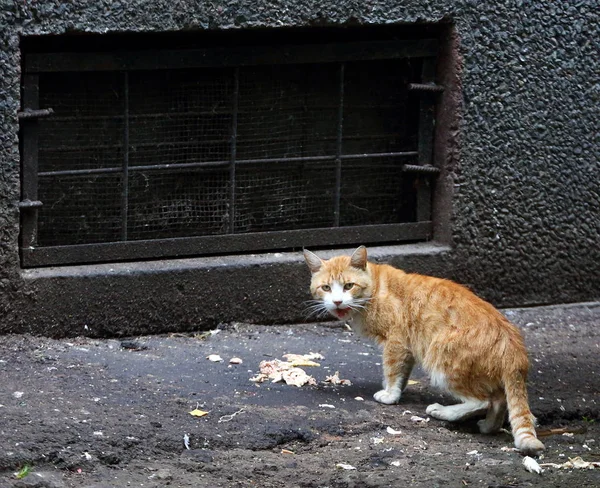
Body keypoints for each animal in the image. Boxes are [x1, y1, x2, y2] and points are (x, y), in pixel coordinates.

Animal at [304, 246, 544, 456]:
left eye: (348, 286)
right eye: (326, 288)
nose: (337, 301)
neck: (376, 289)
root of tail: (513, 344)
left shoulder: (396, 341)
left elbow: (392, 369)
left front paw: (390, 394)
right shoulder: (408, 347)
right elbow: (402, 372)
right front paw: (397, 389)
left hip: (441, 360)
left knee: (482, 401)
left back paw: (444, 412)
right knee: (499, 400)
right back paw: (488, 426)